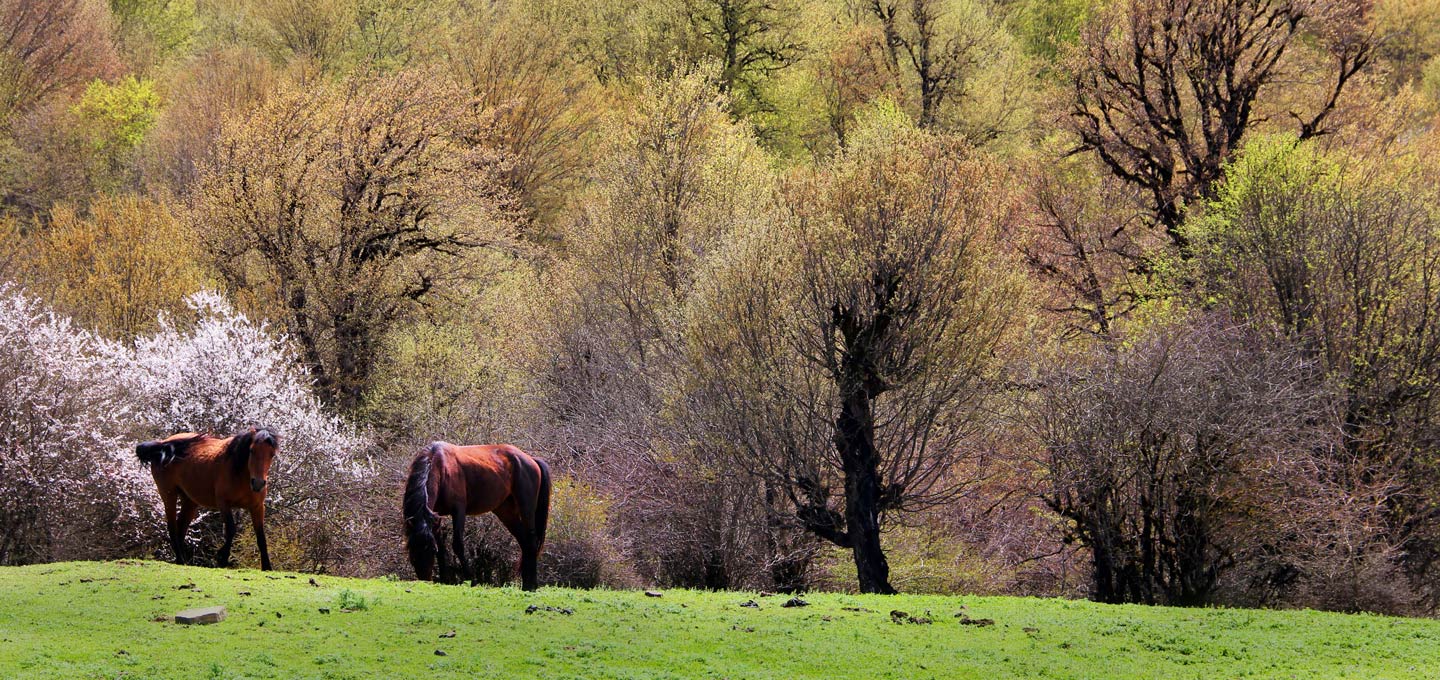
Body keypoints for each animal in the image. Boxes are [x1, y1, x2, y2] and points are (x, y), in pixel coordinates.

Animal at [136, 426, 279, 570]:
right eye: (251, 450)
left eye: (272, 454)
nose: (258, 483)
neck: (239, 473)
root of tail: (163, 444)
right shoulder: (224, 504)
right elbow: (231, 530)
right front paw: (222, 558)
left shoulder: (257, 507)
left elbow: (261, 536)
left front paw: (267, 567)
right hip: (168, 494)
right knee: (172, 527)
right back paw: (181, 560)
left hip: (189, 501)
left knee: (181, 528)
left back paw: (181, 561)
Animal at [406, 440, 550, 590]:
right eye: (411, 550)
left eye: (431, 550)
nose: (424, 581)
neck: (441, 466)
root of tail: (530, 459)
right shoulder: (435, 516)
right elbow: (442, 546)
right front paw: (444, 579)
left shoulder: (458, 510)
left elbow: (458, 545)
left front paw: (471, 580)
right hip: (506, 512)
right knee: (524, 541)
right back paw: (526, 584)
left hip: (526, 508)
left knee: (531, 541)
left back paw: (532, 585)